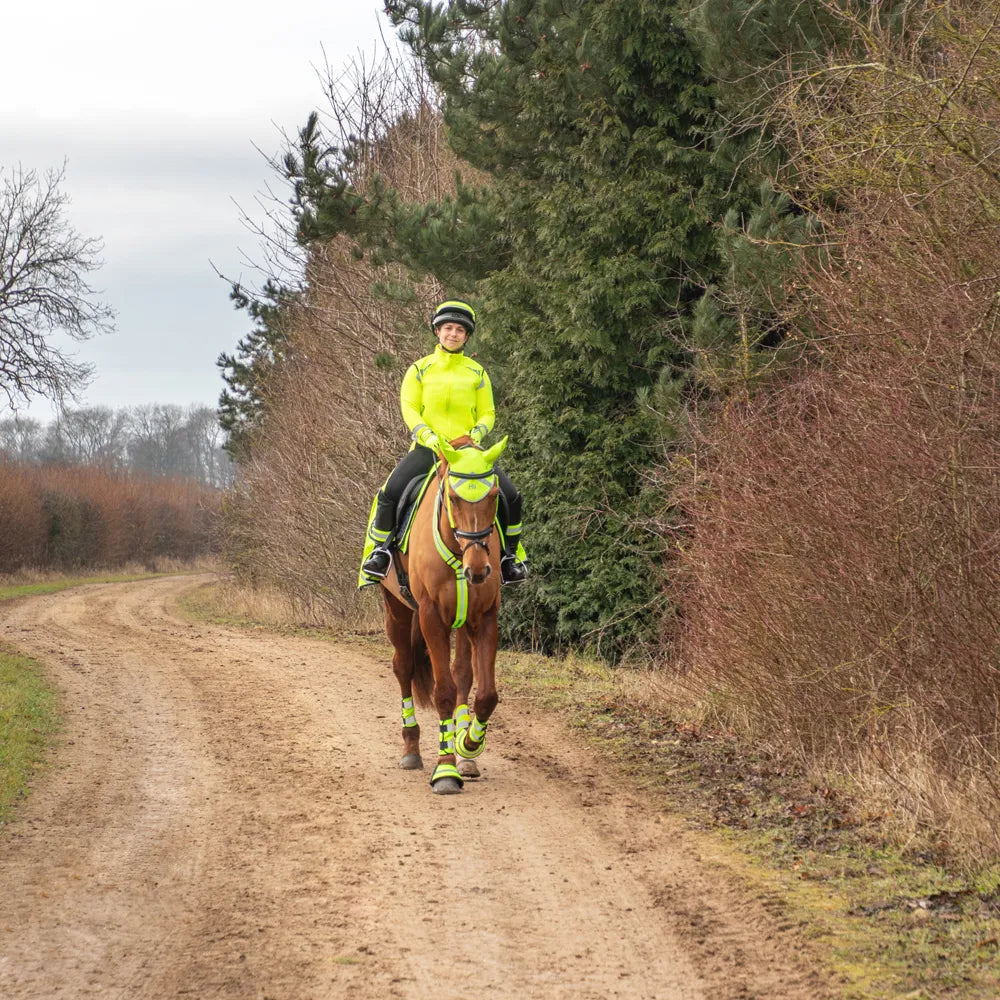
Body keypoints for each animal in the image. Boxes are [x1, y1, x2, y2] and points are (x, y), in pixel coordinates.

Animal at [380, 438, 512, 796]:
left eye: (495, 496)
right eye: (453, 497)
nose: (478, 569)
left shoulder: (484, 617)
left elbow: (485, 694)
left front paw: (468, 744)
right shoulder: (431, 618)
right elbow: (443, 692)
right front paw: (445, 771)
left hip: (464, 622)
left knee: (462, 674)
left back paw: (466, 756)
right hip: (396, 610)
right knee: (403, 667)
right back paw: (411, 750)